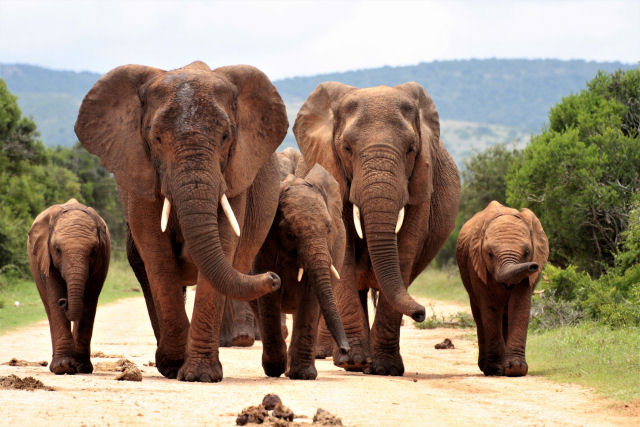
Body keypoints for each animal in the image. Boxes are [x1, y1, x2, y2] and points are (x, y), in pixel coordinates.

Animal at [26, 199, 110, 376]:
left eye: (93, 251)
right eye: (57, 250)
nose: (64, 301)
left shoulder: (102, 258)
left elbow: (90, 300)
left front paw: (81, 367)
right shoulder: (46, 256)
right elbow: (54, 294)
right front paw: (63, 367)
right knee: (48, 306)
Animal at [72, 59, 288, 382]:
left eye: (226, 137)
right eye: (157, 138)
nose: (274, 278)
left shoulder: (235, 173)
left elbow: (224, 245)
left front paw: (199, 375)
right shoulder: (140, 172)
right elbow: (157, 254)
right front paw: (175, 366)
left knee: (238, 269)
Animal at [251, 150, 350, 382]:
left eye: (329, 229)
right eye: (290, 234)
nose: (346, 350)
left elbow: (310, 294)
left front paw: (303, 375)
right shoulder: (264, 243)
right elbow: (268, 295)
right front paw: (275, 369)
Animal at [296, 82, 460, 376]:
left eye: (411, 149)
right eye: (346, 148)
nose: (421, 313)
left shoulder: (421, 181)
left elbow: (406, 247)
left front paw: (385, 369)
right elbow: (345, 248)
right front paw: (355, 362)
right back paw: (347, 360)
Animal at [456, 201, 552, 378]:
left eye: (527, 252)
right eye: (490, 254)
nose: (533, 266)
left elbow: (520, 305)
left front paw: (515, 369)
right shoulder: (477, 265)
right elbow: (490, 307)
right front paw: (495, 370)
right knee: (480, 316)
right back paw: (486, 367)